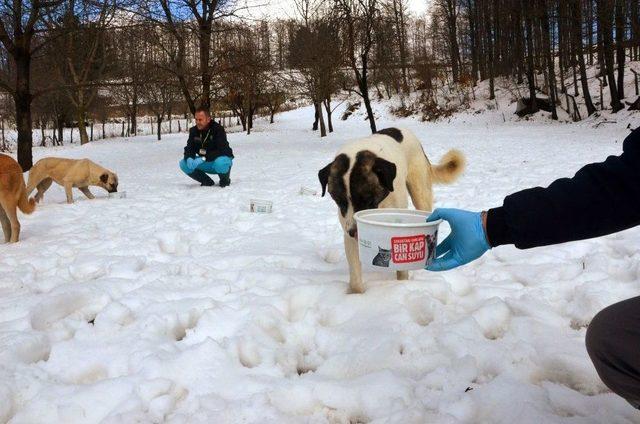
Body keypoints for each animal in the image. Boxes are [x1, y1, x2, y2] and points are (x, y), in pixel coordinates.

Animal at [320, 127, 464, 294]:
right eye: (339, 201)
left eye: (367, 199)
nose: (354, 232)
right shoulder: (348, 232)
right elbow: (355, 275)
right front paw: (357, 295)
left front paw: (402, 284)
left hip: (420, 192)